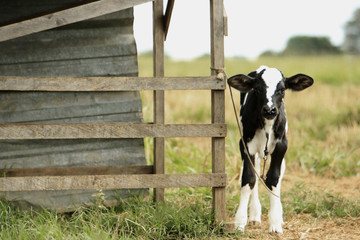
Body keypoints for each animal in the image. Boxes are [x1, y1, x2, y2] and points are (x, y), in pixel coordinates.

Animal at [229, 65, 314, 232]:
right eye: (257, 89)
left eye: (282, 89)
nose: (269, 110)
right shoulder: (245, 144)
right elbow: (248, 178)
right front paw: (240, 222)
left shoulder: (282, 145)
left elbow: (274, 178)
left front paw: (275, 223)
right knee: (255, 172)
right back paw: (254, 214)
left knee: (279, 175)